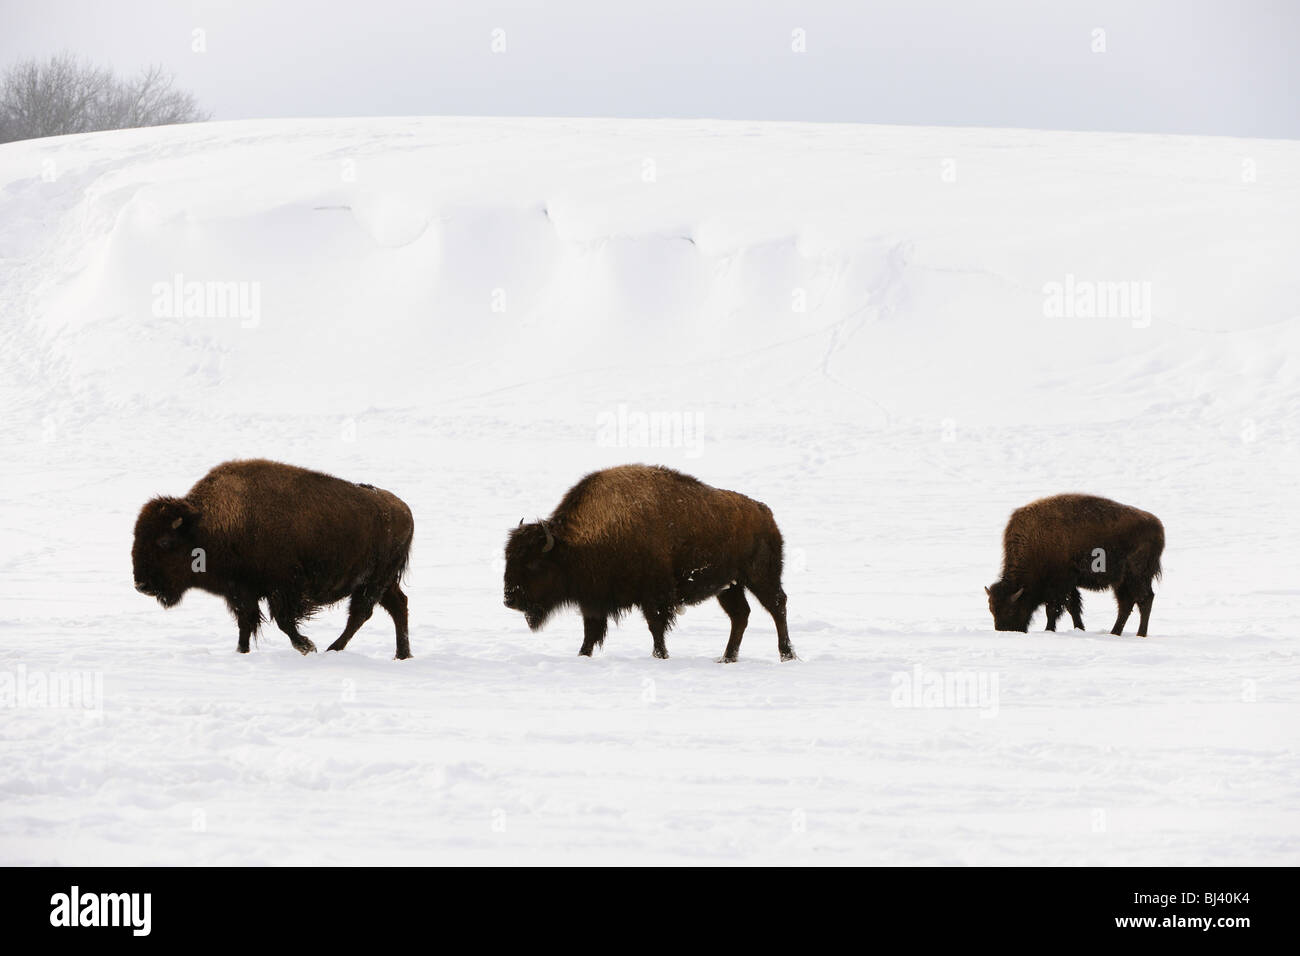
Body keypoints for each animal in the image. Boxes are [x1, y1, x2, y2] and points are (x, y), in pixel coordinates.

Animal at [131, 463, 416, 658]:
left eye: (164, 542)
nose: (141, 585)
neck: (208, 524)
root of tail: (404, 510)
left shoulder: (283, 589)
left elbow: (282, 621)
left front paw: (307, 646)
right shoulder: (241, 592)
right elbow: (246, 623)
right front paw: (241, 651)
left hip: (374, 581)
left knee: (361, 613)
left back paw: (333, 649)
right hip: (380, 582)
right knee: (397, 605)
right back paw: (400, 654)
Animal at [504, 465, 790, 665]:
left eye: (533, 563)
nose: (509, 600)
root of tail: (765, 514)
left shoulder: (654, 594)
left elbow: (655, 626)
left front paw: (660, 656)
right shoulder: (593, 600)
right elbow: (590, 632)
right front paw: (582, 655)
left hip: (760, 576)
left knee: (777, 606)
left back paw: (786, 654)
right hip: (729, 586)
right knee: (740, 615)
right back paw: (727, 658)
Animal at [982, 496, 1170, 639]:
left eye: (1010, 610)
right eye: (992, 610)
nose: (1005, 631)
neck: (1036, 543)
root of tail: (1158, 527)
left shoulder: (1059, 586)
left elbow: (1053, 609)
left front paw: (1049, 630)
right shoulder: (1069, 586)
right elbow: (1073, 607)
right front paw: (1079, 628)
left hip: (1137, 577)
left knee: (1145, 600)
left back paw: (1140, 634)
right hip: (1121, 582)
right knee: (1126, 605)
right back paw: (1114, 633)